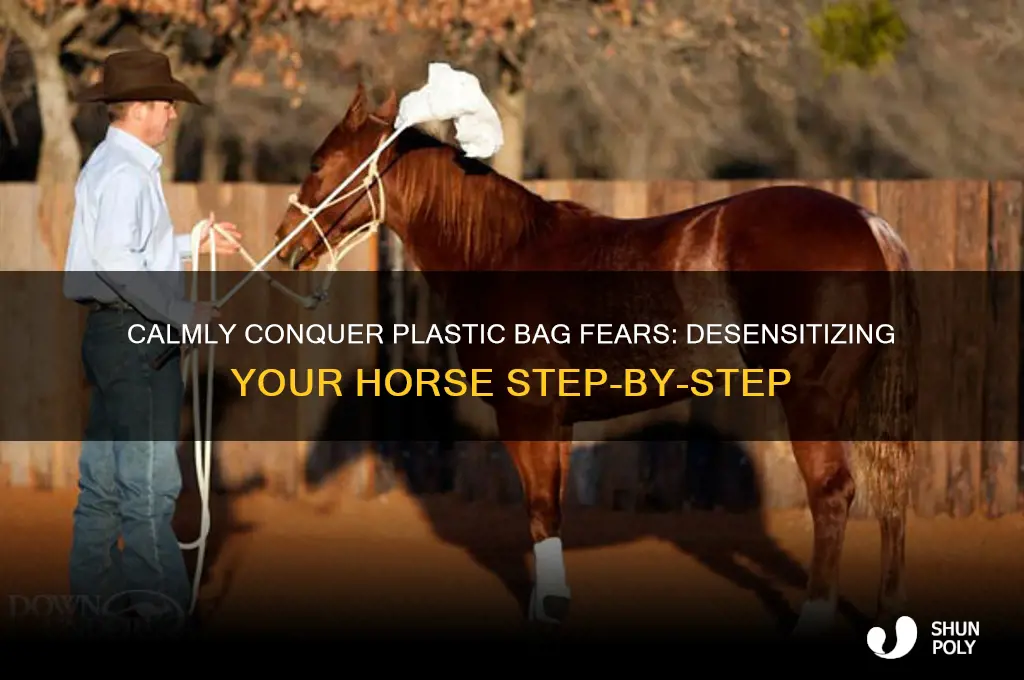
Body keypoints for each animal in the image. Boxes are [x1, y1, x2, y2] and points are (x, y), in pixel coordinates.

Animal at [269, 83, 920, 637]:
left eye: (318, 164)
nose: (285, 247)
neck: (503, 253)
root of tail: (871, 224)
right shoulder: (556, 421)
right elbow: (550, 508)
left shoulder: (526, 415)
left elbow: (538, 509)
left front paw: (550, 610)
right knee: (890, 492)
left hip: (811, 399)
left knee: (833, 495)